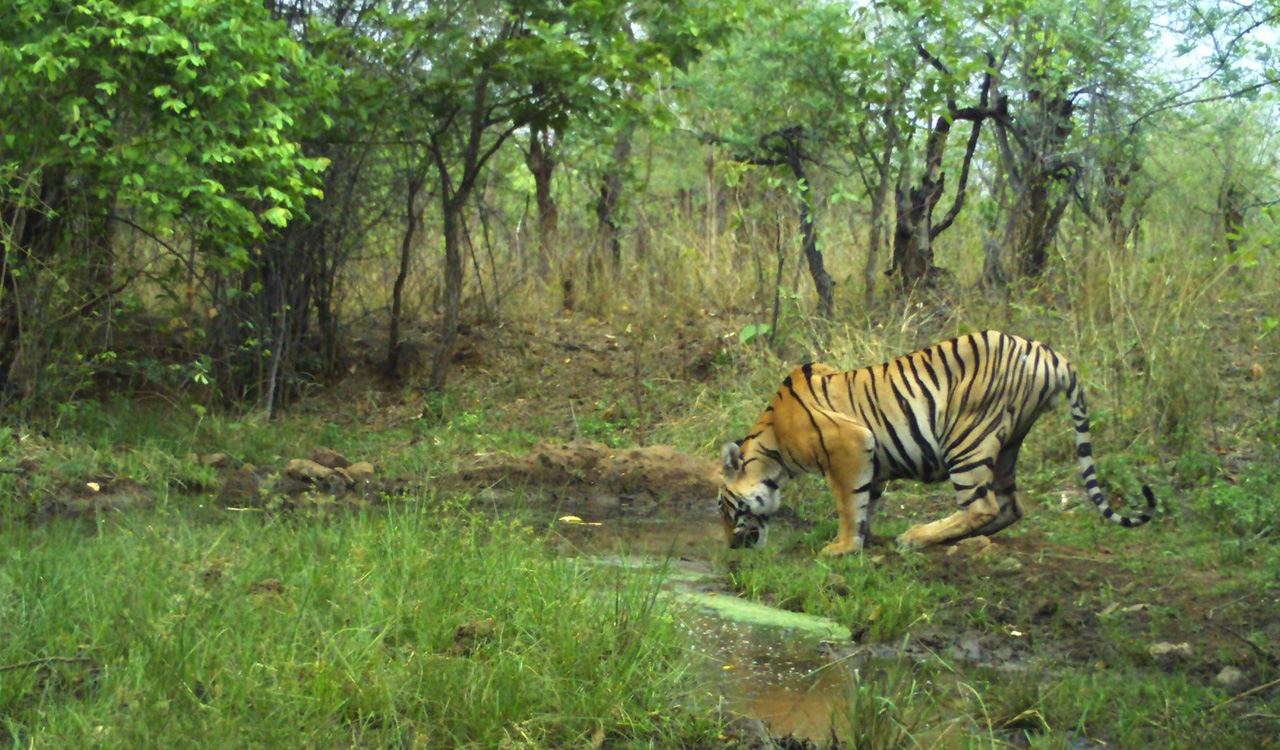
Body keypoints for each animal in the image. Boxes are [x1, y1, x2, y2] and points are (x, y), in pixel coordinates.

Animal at [717, 330, 1156, 554]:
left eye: (725, 508)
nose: (731, 546)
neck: (772, 447)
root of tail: (1051, 355)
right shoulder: (870, 459)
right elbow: (865, 501)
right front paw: (863, 537)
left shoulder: (850, 445)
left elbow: (847, 504)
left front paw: (841, 547)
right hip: (1008, 442)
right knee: (1009, 505)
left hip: (968, 437)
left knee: (981, 504)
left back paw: (915, 537)